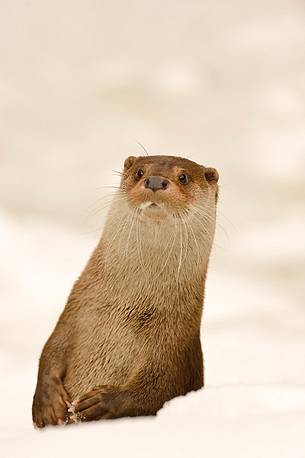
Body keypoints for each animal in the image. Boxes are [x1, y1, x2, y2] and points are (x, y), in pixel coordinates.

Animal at [32, 154, 218, 426]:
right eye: (140, 172)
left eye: (183, 176)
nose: (155, 180)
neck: (123, 310)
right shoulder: (72, 314)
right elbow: (49, 350)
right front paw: (47, 405)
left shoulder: (173, 349)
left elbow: (156, 392)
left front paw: (100, 403)